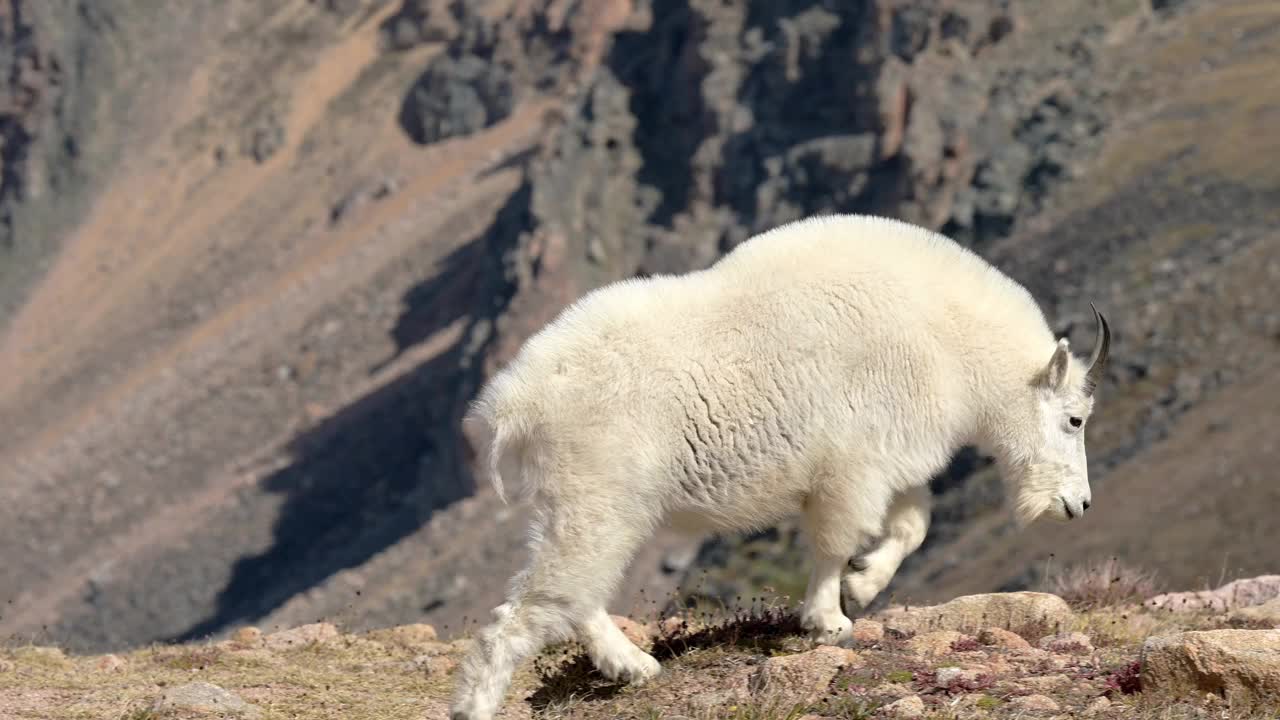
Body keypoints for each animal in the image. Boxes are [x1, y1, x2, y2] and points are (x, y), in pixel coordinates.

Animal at [450, 212, 1111, 717]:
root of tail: (515, 400)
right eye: (1075, 419)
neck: (950, 340)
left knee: (572, 593)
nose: (1077, 505)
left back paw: (633, 665)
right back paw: (485, 703)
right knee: (532, 608)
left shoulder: (890, 460)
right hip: (598, 495)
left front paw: (863, 585)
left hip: (587, 503)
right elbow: (837, 539)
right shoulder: (852, 464)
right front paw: (828, 619)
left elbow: (911, 526)